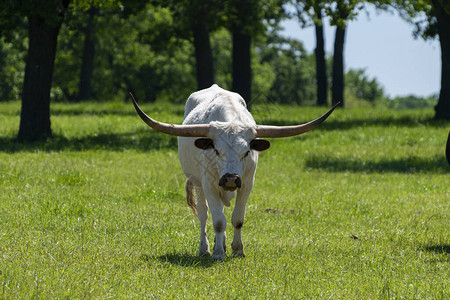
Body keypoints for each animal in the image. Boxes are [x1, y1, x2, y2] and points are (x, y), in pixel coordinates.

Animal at [130, 84, 338, 260]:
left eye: (246, 152)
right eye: (216, 150)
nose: (230, 178)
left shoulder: (247, 184)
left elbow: (237, 219)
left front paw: (237, 249)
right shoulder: (209, 183)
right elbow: (218, 221)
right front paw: (218, 253)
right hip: (198, 183)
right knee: (204, 215)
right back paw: (205, 248)